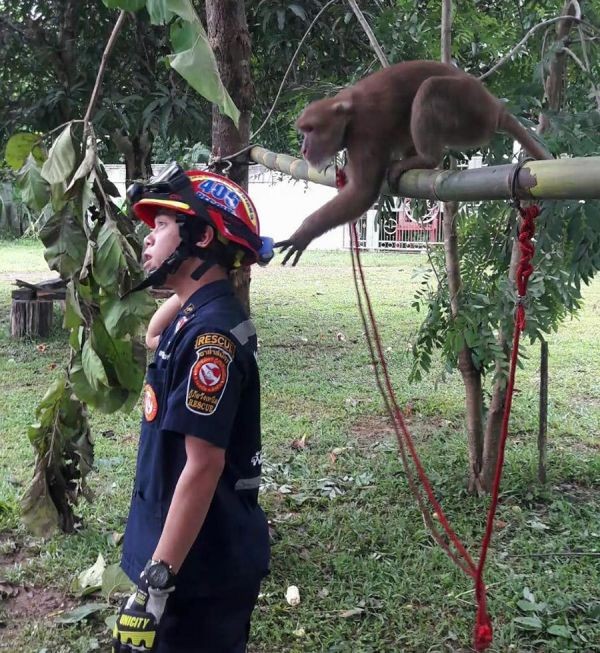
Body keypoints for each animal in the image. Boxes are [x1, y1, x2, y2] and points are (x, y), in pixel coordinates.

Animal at [274, 59, 552, 264]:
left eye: (311, 129)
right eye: (304, 131)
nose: (304, 147)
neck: (348, 113)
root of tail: (495, 107)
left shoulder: (365, 132)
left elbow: (362, 192)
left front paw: (304, 233)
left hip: (470, 112)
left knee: (431, 88)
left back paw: (426, 159)